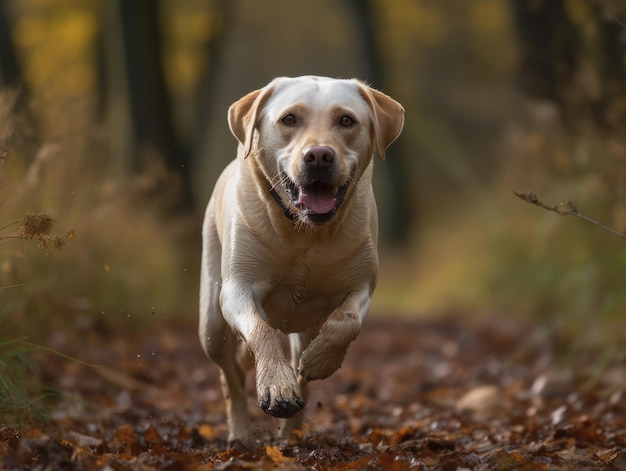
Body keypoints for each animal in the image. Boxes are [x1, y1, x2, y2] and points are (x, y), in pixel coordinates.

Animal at [199, 75, 404, 448]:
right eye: (289, 119)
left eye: (346, 120)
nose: (319, 155)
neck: (306, 231)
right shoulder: (237, 289)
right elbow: (261, 330)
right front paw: (276, 386)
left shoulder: (361, 286)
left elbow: (346, 321)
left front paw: (320, 361)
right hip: (211, 325)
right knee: (229, 375)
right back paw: (240, 431)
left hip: (304, 327)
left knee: (301, 373)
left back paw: (290, 435)